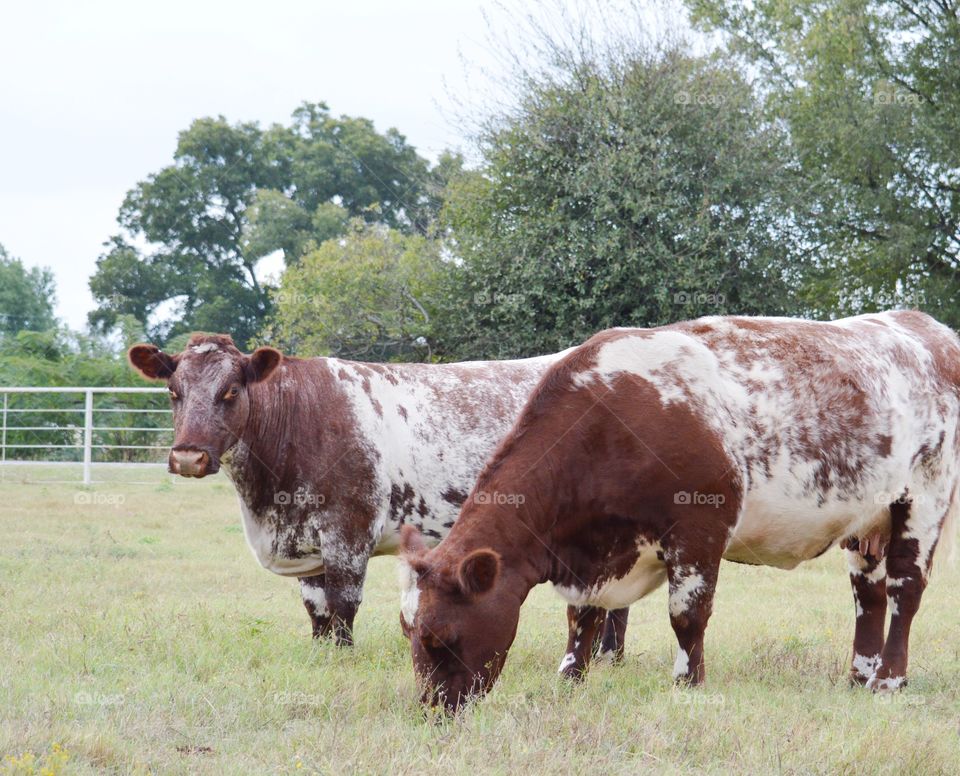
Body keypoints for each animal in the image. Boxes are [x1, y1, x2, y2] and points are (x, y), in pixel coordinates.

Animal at [125, 332, 624, 660]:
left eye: (230, 391)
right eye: (173, 391)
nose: (188, 457)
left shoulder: (349, 530)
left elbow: (343, 603)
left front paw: (344, 656)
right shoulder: (308, 541)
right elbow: (316, 607)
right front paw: (323, 654)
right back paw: (610, 658)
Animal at [402, 312, 960, 712]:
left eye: (440, 637)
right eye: (409, 631)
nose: (434, 710)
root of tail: (922, 325)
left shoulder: (698, 530)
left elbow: (687, 615)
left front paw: (687, 683)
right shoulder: (596, 553)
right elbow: (582, 616)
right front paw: (569, 677)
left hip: (924, 497)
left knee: (905, 589)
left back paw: (888, 680)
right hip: (867, 519)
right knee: (867, 595)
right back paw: (857, 676)